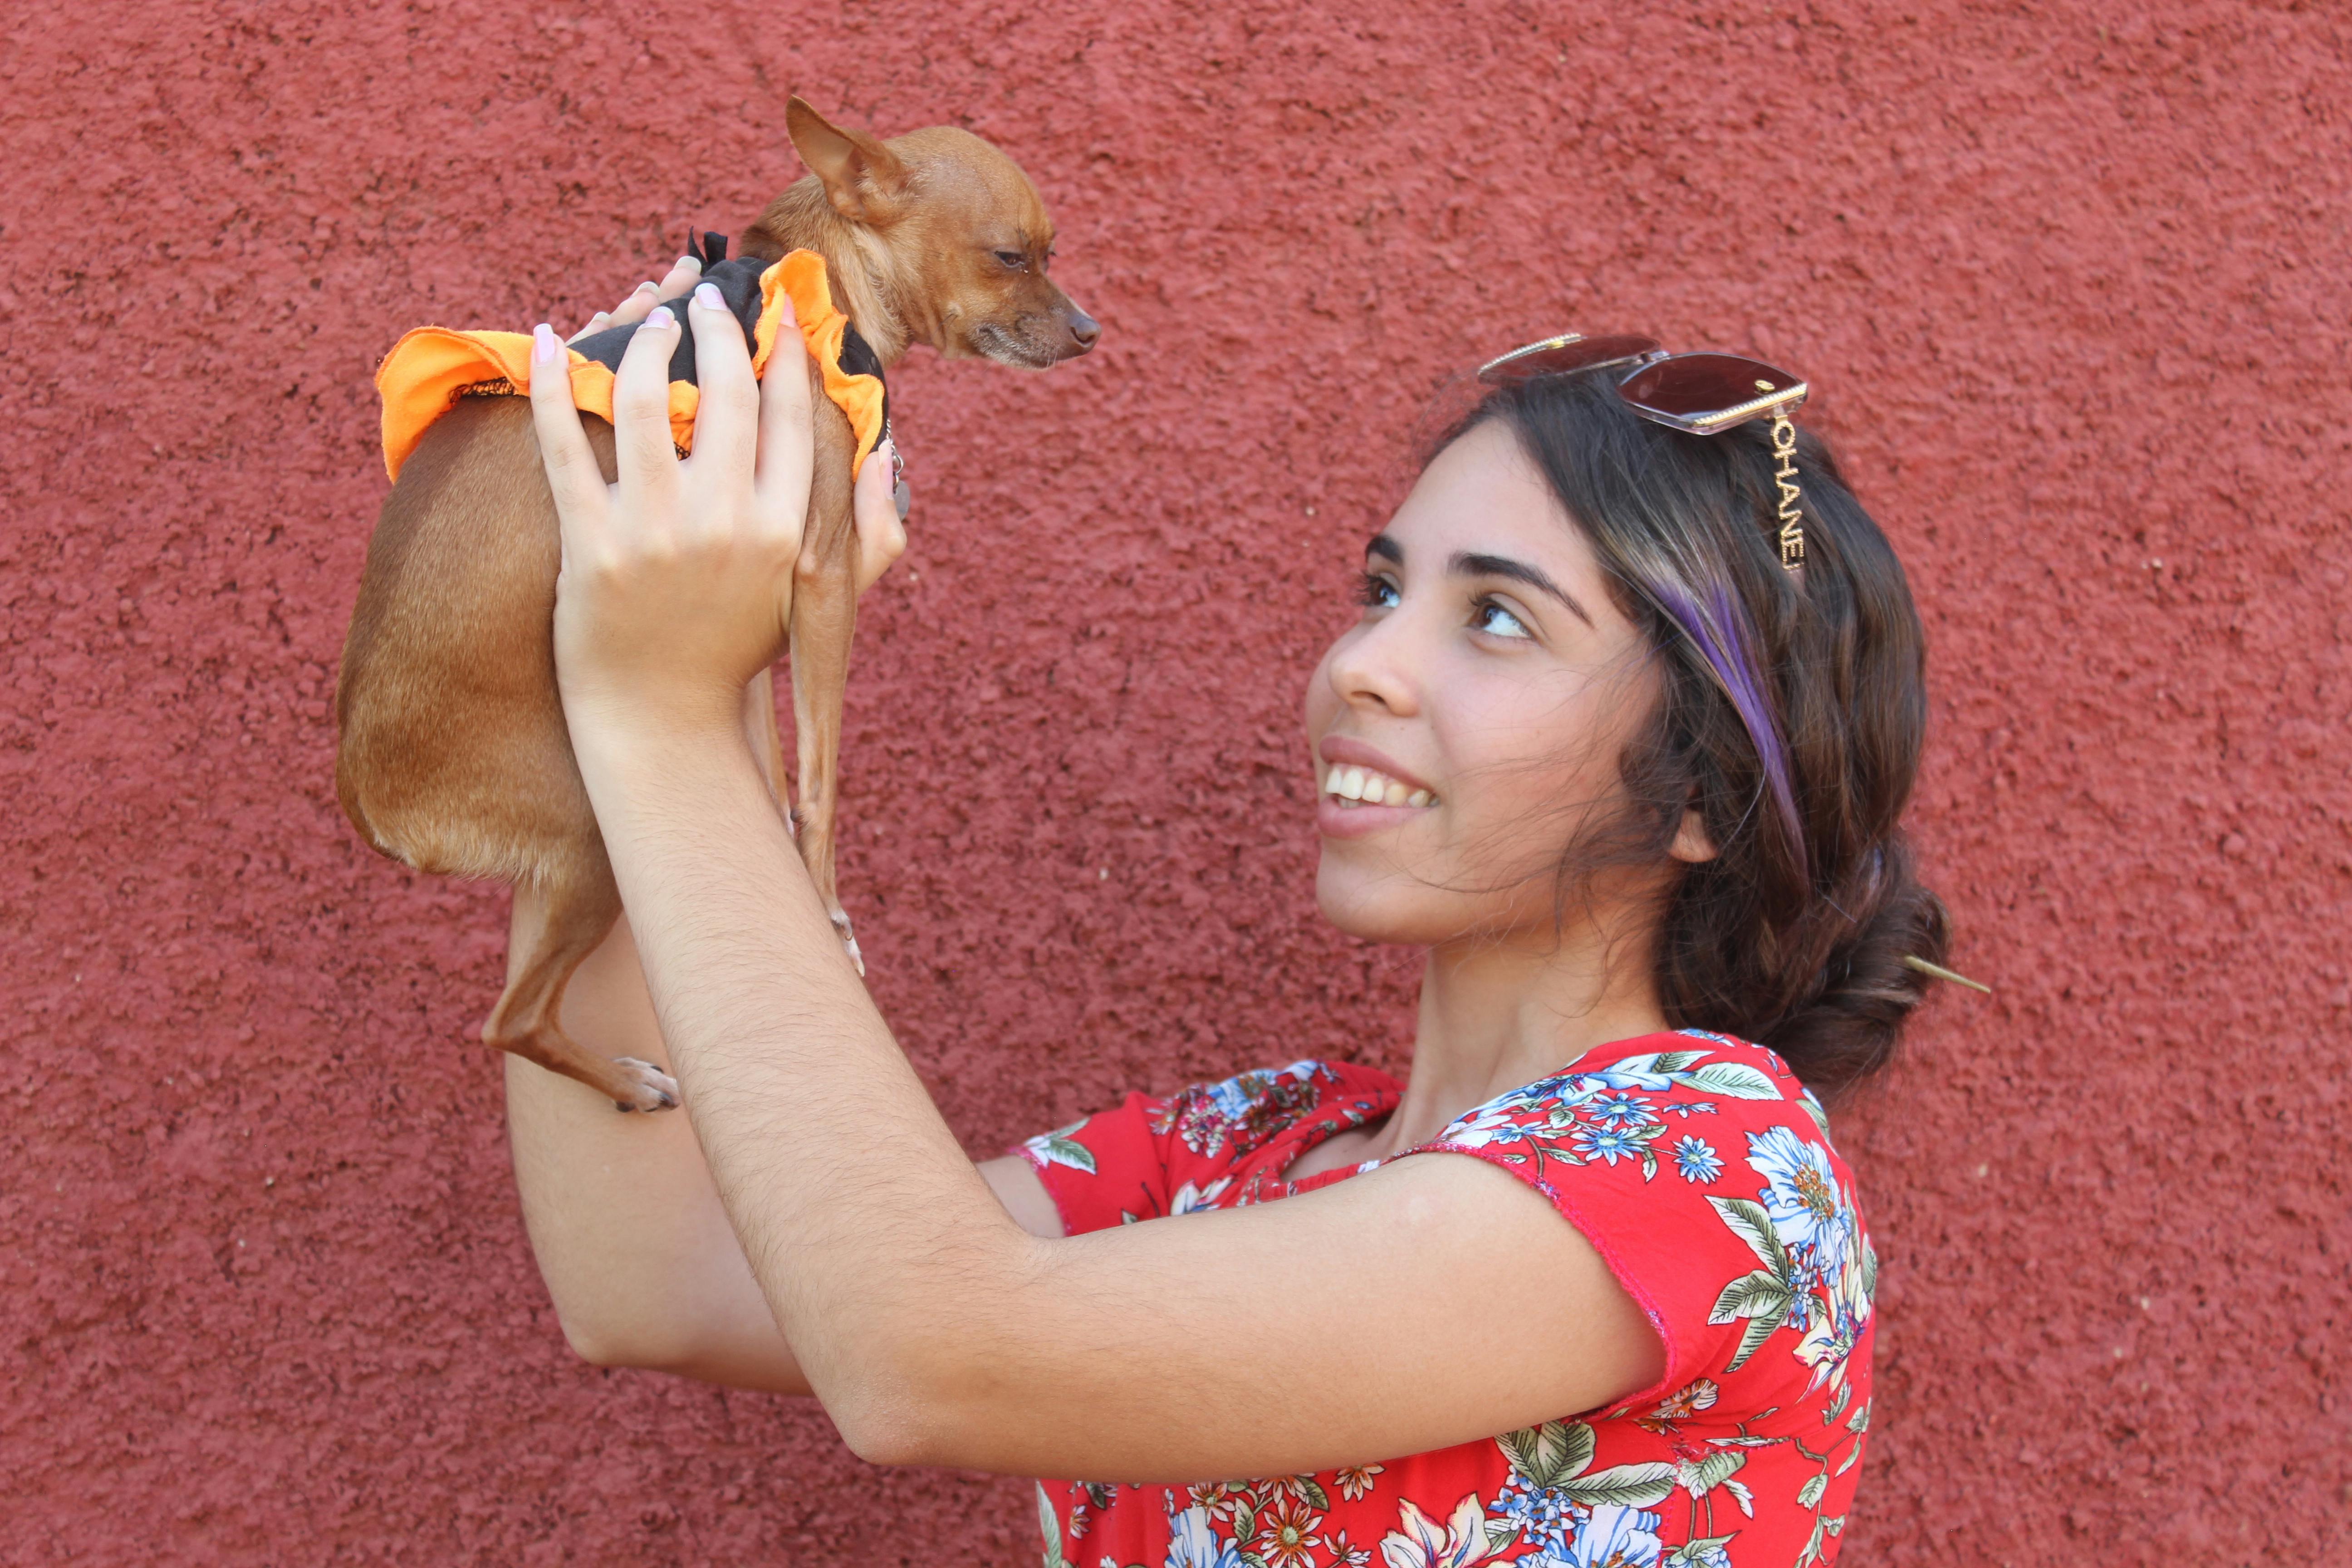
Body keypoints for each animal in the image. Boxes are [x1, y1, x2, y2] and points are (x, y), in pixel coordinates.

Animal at [336, 98, 1096, 1109]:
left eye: (1047, 254)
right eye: (1012, 256)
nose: (1091, 330)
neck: (814, 283)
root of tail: (362, 797)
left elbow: (782, 770)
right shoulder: (823, 581)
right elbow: (819, 781)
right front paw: (827, 909)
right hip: (589, 832)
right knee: (511, 1021)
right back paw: (625, 1080)